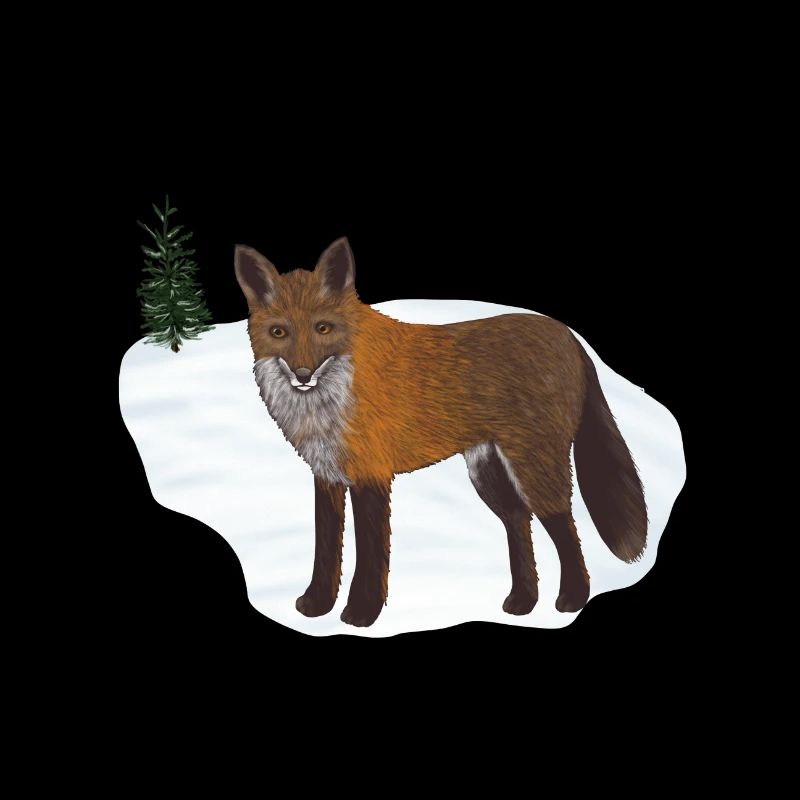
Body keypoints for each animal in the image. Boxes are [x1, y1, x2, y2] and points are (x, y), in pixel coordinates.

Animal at [234, 237, 647, 627]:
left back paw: (572, 598)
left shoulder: (371, 476)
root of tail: (570, 336)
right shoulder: (327, 476)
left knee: (563, 524)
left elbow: (369, 554)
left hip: (534, 467)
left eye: (323, 328)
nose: (303, 375)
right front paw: (318, 604)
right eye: (279, 332)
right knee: (519, 521)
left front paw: (363, 612)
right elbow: (325, 548)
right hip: (488, 475)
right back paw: (523, 602)